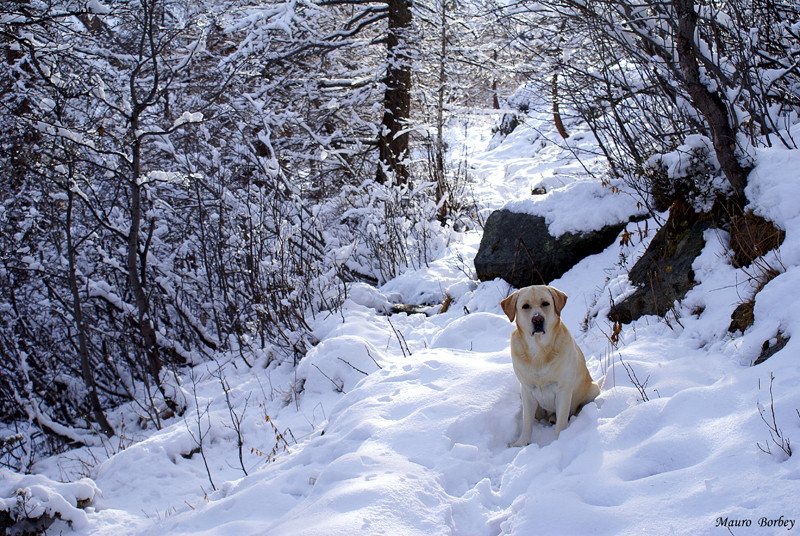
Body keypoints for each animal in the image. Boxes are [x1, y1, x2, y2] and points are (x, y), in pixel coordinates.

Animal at [504, 286, 596, 446]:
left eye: (545, 303)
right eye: (525, 306)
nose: (538, 319)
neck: (538, 351)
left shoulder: (563, 390)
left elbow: (562, 421)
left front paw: (559, 441)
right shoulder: (527, 391)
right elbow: (526, 422)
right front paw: (521, 443)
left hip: (593, 389)